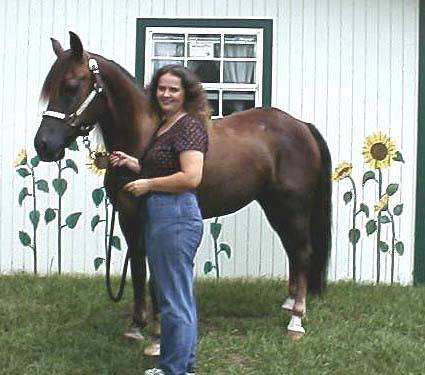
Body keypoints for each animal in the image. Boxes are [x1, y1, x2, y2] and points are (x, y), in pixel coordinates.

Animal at [34, 32, 332, 340]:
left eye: (70, 86)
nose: (43, 145)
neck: (144, 139)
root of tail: (301, 126)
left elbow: (154, 273)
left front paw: (158, 326)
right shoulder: (129, 219)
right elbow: (138, 268)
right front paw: (137, 325)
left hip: (294, 207)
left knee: (303, 252)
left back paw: (296, 320)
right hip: (275, 206)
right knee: (292, 250)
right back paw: (289, 303)